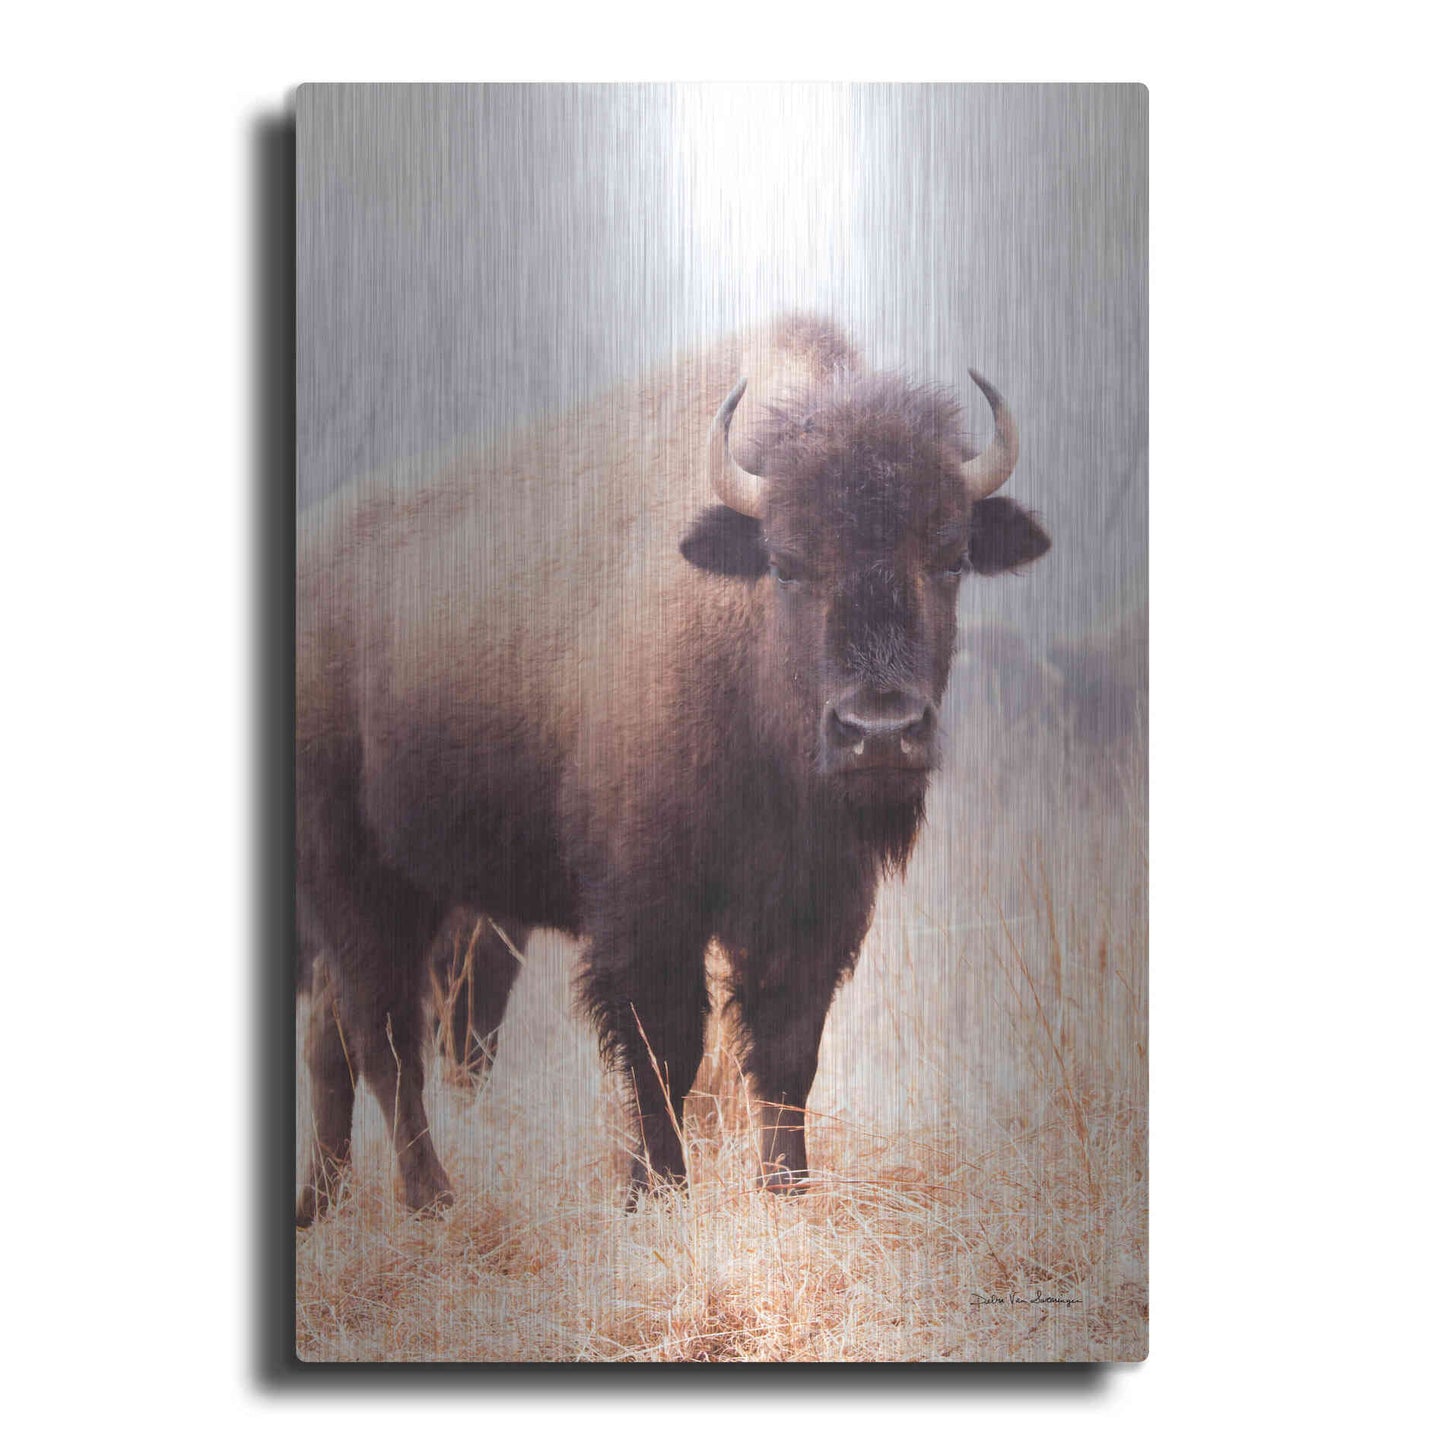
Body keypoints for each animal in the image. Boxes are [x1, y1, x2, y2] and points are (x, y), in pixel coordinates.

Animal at [295, 316, 1051, 1224]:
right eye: (786, 562)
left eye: (949, 559)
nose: (879, 731)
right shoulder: (647, 905)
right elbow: (664, 1049)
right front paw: (654, 1191)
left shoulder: (815, 904)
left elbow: (787, 1053)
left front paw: (786, 1192)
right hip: (354, 879)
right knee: (384, 1036)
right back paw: (429, 1197)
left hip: (416, 887)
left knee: (336, 1037)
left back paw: (322, 1204)